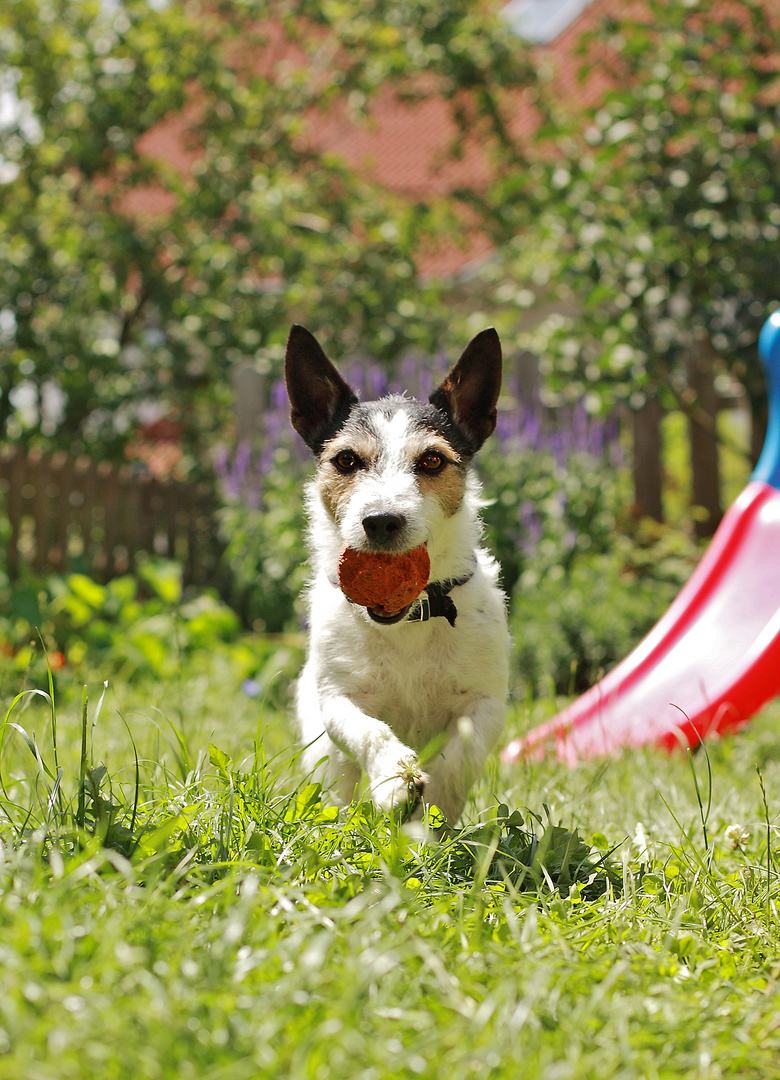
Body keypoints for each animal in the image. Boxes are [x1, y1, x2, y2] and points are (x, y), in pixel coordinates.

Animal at [283, 324, 507, 820]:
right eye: (346, 460)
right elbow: (369, 731)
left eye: (432, 460)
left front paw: (436, 800)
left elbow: (461, 756)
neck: (411, 619)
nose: (382, 521)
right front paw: (393, 779)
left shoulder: (486, 703)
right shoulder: (337, 699)